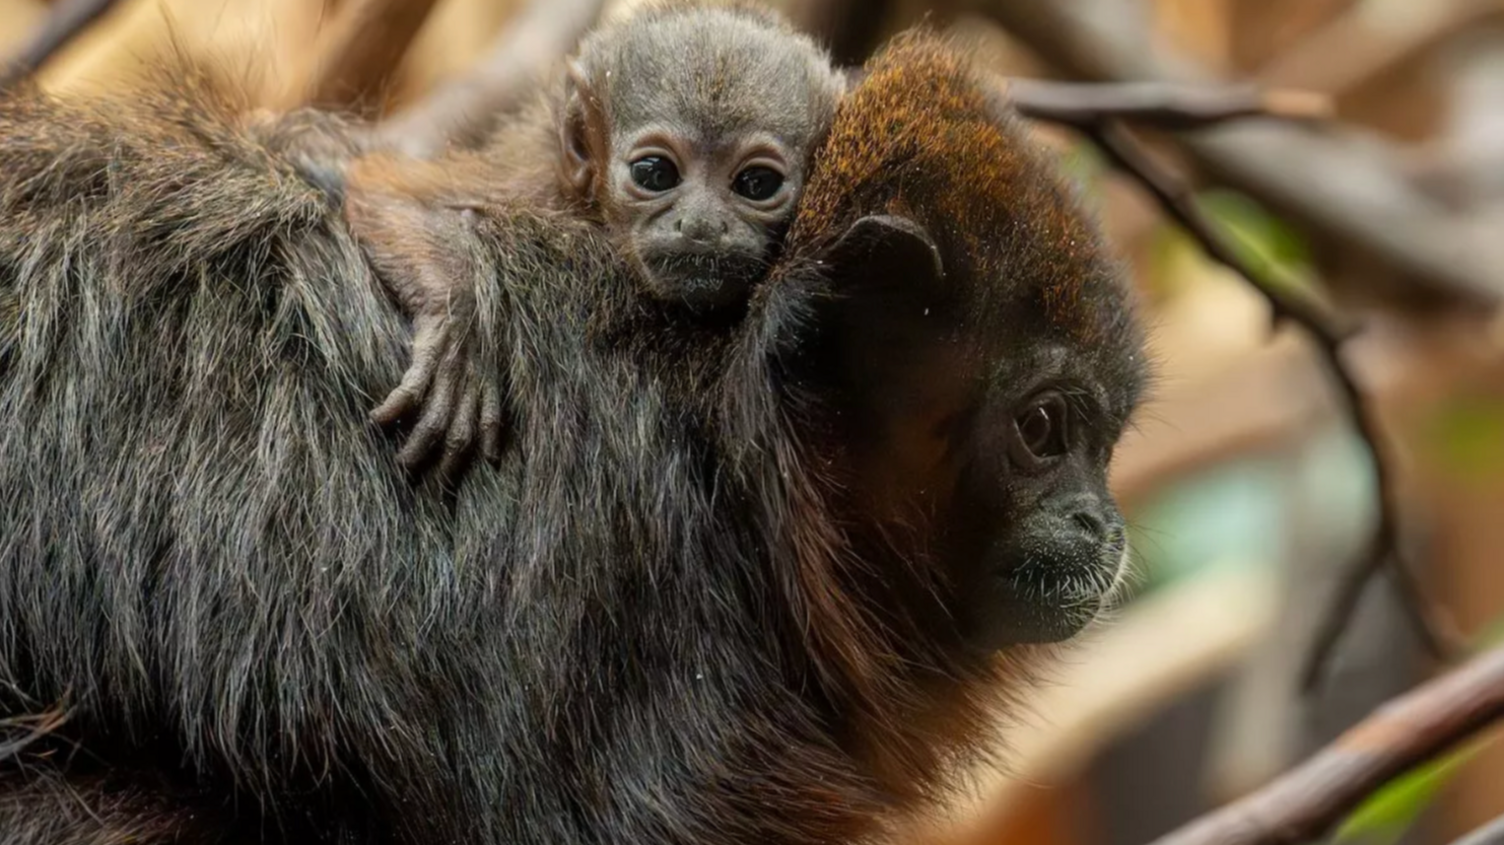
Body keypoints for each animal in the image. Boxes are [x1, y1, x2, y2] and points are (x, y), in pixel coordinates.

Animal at [341, 1, 845, 477]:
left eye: (756, 183)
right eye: (655, 173)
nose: (701, 225)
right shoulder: (532, 177)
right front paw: (458, 329)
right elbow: (384, 190)